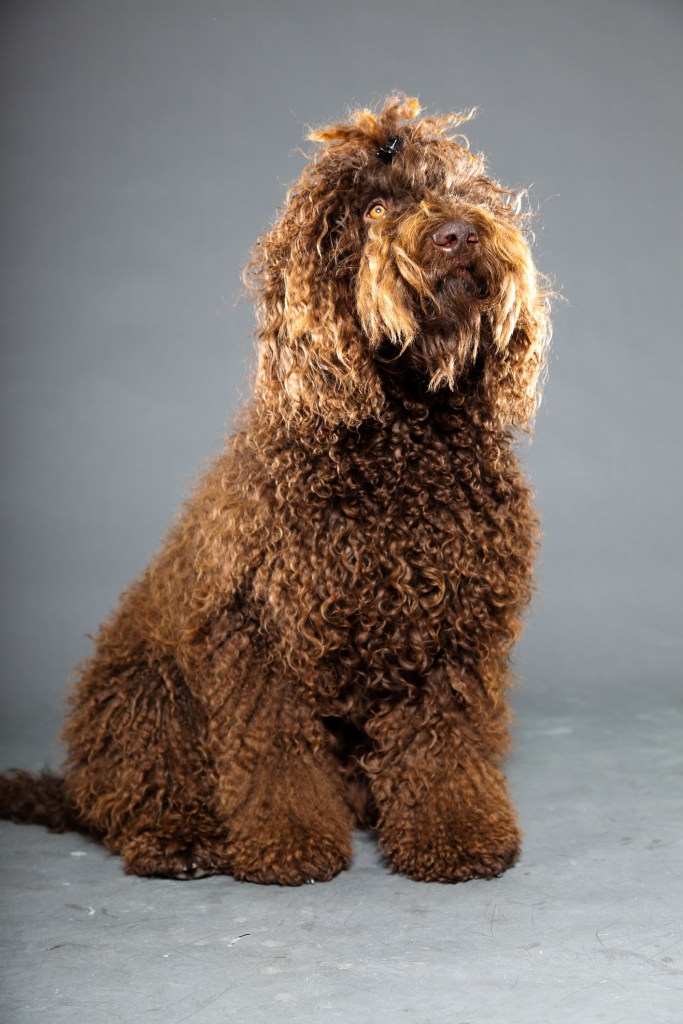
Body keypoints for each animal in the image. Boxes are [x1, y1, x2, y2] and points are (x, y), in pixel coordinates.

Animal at [0, 96, 552, 884]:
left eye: (455, 189)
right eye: (374, 209)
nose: (457, 233)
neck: (403, 443)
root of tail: (74, 785)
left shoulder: (451, 635)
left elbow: (443, 744)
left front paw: (457, 832)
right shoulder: (262, 635)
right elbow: (273, 752)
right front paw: (287, 843)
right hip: (147, 695)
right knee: (136, 793)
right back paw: (178, 840)